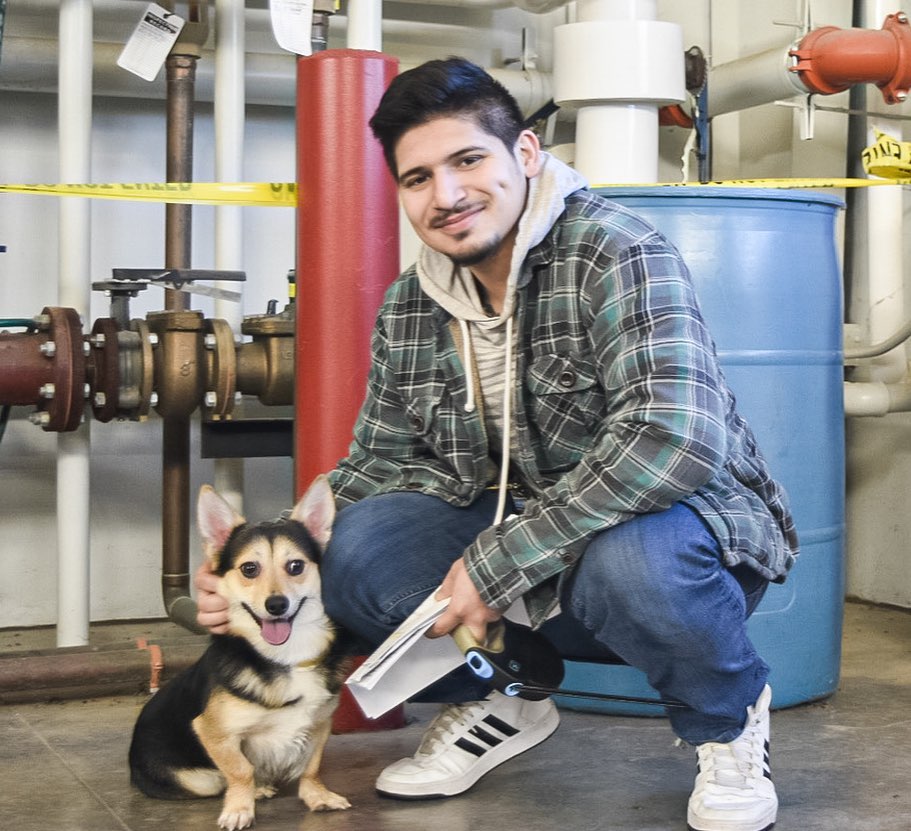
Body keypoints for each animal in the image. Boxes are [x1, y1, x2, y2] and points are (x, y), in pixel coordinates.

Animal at [130, 478, 354, 828]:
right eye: (249, 569)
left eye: (295, 566)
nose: (276, 605)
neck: (286, 656)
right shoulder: (214, 732)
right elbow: (240, 771)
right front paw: (239, 809)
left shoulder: (320, 725)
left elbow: (312, 767)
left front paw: (317, 796)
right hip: (196, 778)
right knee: (217, 780)